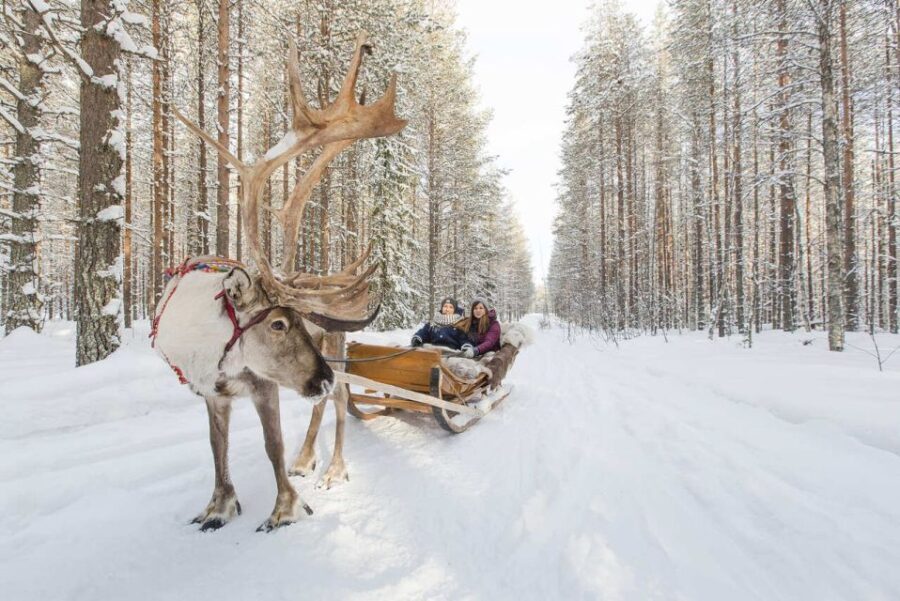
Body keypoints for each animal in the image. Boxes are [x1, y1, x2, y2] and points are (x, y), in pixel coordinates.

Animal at [153, 32, 406, 532]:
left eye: (298, 322)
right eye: (277, 324)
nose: (320, 376)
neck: (206, 345)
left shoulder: (263, 384)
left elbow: (273, 446)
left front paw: (285, 510)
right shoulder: (211, 393)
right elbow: (217, 449)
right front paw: (218, 506)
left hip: (336, 350)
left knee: (340, 400)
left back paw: (333, 467)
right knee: (324, 404)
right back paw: (308, 456)